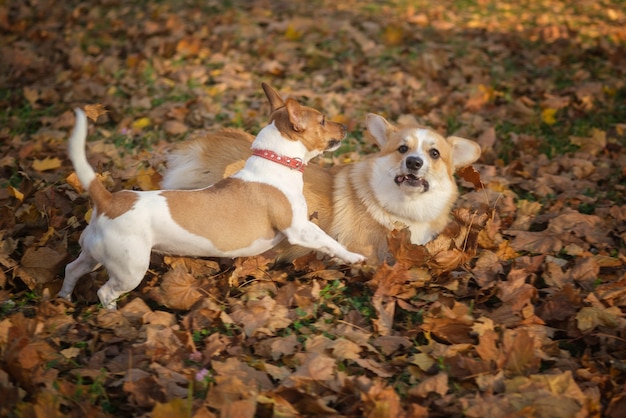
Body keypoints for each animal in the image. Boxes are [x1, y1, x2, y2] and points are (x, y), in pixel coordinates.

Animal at [59, 83, 364, 308]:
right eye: (323, 120)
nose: (346, 127)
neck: (273, 162)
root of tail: (109, 201)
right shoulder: (299, 228)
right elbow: (328, 241)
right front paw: (353, 257)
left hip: (93, 254)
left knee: (72, 269)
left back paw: (64, 298)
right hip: (129, 268)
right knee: (105, 292)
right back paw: (113, 314)